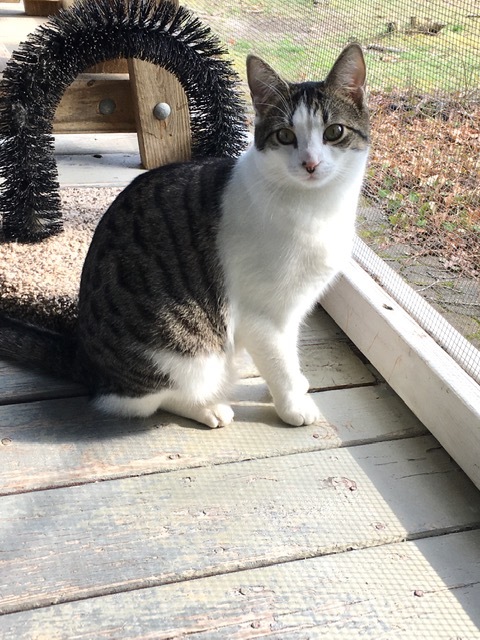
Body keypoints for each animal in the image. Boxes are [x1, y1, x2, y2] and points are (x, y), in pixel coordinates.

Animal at [0, 42, 370, 428]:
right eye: (285, 135)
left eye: (334, 132)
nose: (311, 164)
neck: (316, 209)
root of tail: (85, 358)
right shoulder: (263, 316)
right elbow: (278, 362)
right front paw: (293, 404)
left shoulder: (294, 310)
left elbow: (289, 356)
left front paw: (296, 384)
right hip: (185, 351)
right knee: (144, 399)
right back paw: (207, 407)